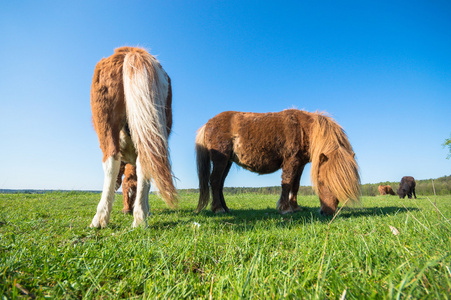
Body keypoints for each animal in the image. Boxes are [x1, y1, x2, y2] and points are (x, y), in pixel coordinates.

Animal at [90, 46, 178, 227]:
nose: (126, 210)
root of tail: (133, 50)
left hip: (106, 124)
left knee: (111, 162)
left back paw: (100, 219)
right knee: (145, 163)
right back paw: (140, 218)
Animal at [196, 109, 362, 214]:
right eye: (320, 181)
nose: (328, 212)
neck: (303, 129)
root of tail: (207, 124)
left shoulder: (300, 164)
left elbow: (295, 185)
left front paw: (295, 207)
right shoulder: (291, 161)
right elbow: (287, 183)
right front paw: (285, 208)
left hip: (228, 162)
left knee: (220, 184)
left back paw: (225, 208)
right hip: (220, 159)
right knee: (215, 181)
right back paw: (218, 209)